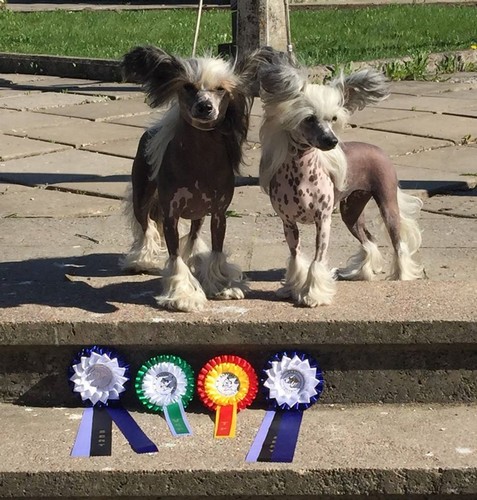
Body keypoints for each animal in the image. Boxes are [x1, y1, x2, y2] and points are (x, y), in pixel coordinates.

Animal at [121, 46, 258, 312]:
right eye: (188, 87)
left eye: (220, 89)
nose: (205, 106)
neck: (199, 159)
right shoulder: (171, 215)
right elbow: (175, 258)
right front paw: (183, 295)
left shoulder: (218, 214)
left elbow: (216, 250)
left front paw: (220, 286)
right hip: (142, 197)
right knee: (146, 226)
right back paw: (141, 259)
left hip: (198, 214)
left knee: (193, 235)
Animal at [258, 52, 423, 307]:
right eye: (309, 118)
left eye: (333, 118)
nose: (332, 140)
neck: (300, 174)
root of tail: (377, 148)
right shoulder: (288, 223)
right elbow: (296, 257)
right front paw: (293, 289)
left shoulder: (323, 220)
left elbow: (317, 260)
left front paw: (314, 295)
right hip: (351, 211)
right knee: (368, 240)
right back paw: (360, 272)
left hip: (387, 204)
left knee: (398, 243)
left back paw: (402, 275)